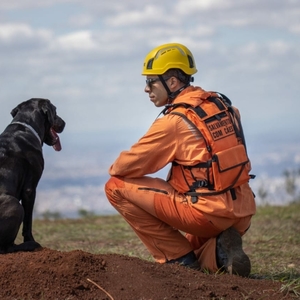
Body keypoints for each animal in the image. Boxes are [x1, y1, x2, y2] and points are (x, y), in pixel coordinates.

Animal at [0, 99, 65, 253]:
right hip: (15, 205)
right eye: (55, 110)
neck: (26, 126)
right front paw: (30, 240)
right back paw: (29, 245)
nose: (64, 123)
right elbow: (28, 222)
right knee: (5, 248)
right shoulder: (29, 189)